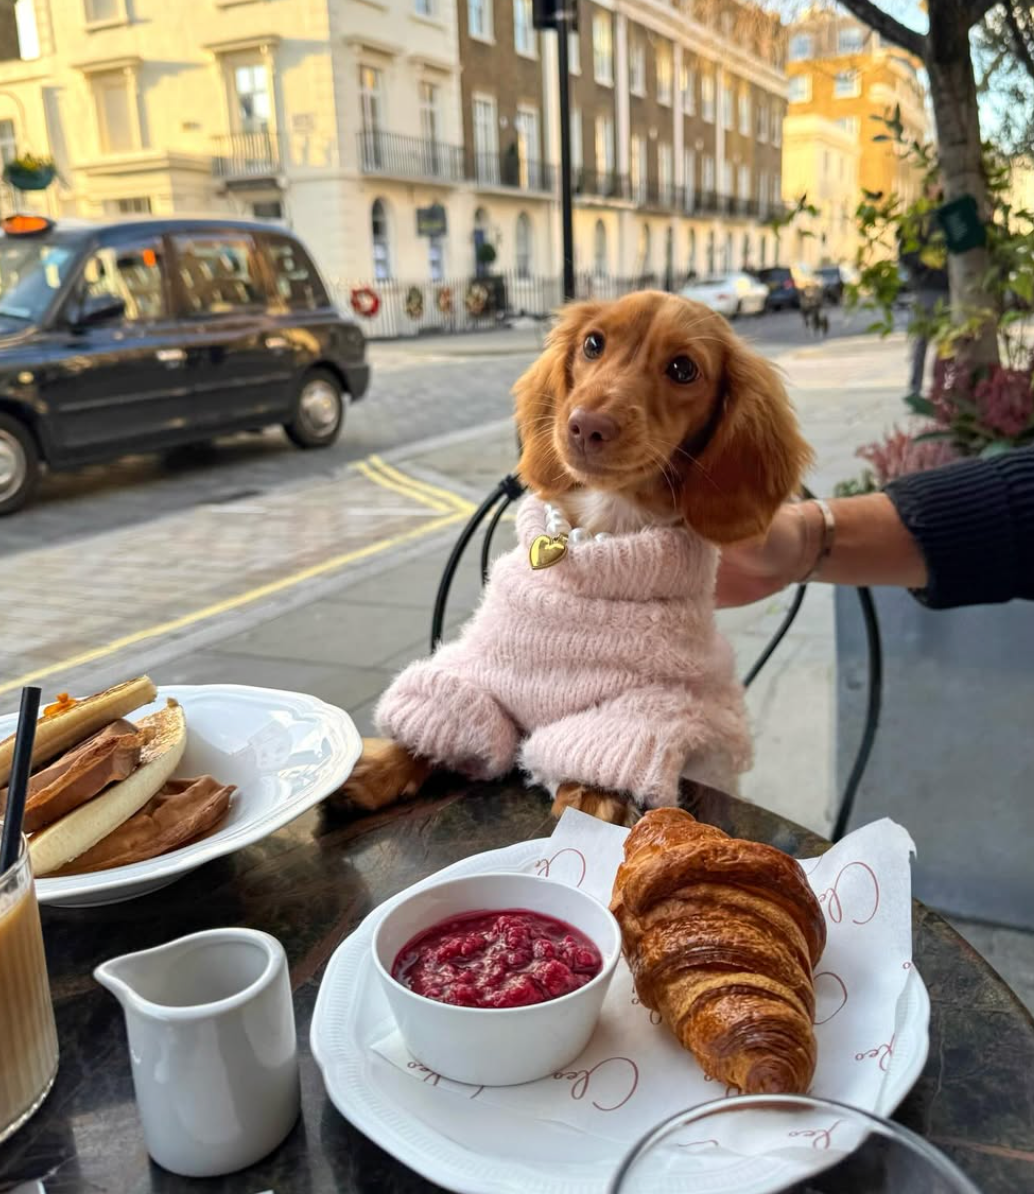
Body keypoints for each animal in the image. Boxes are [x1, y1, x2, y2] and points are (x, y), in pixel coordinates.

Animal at [341, 292, 812, 825]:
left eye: (683, 368)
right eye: (593, 343)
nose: (587, 425)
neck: (595, 537)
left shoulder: (652, 705)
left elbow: (608, 746)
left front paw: (590, 795)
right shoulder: (477, 670)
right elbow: (449, 711)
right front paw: (380, 762)